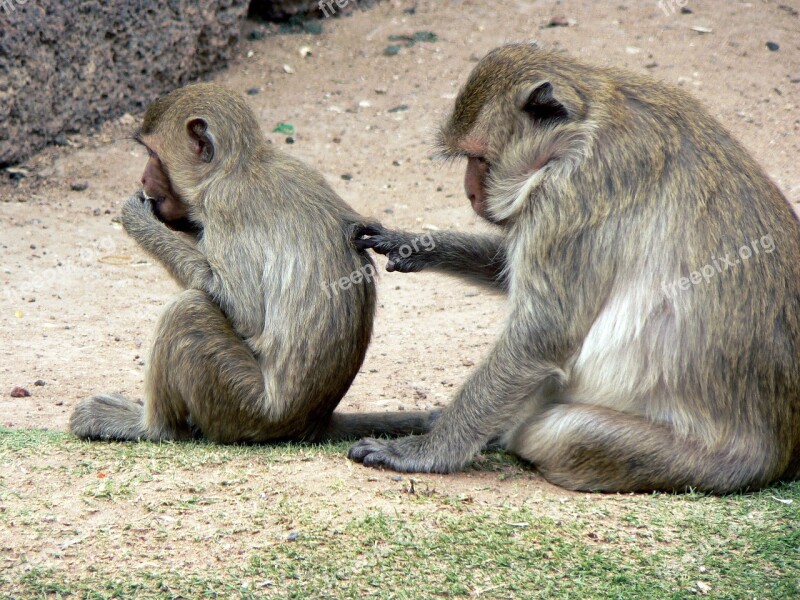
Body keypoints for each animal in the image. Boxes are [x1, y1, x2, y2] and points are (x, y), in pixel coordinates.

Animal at [71, 82, 434, 442]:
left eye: (152, 155)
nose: (144, 180)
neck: (235, 167)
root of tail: (311, 421)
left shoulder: (224, 203)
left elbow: (244, 311)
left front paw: (137, 219)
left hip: (242, 405)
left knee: (188, 311)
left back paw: (152, 428)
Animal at [350, 43, 800, 492]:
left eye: (479, 158)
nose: (469, 193)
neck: (585, 126)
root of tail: (781, 454)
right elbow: (507, 270)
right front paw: (414, 244)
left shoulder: (569, 195)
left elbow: (541, 336)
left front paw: (422, 451)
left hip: (702, 462)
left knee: (557, 432)